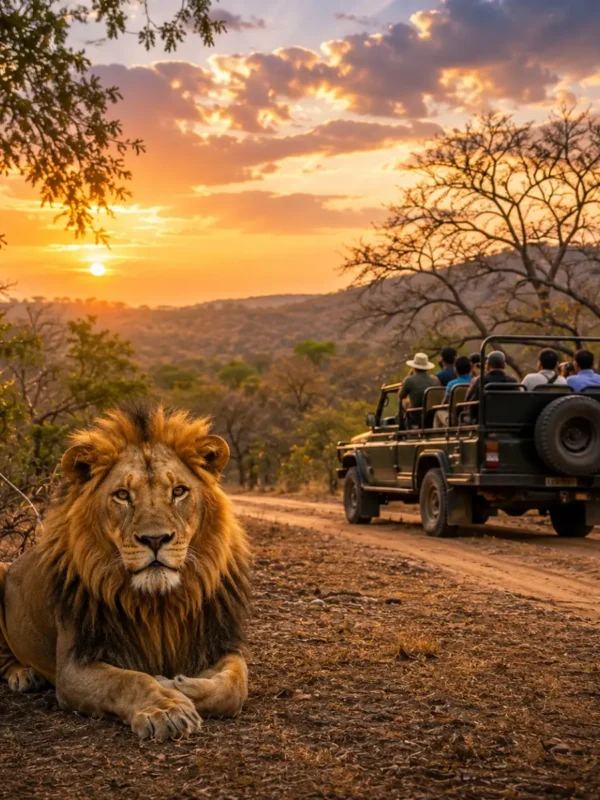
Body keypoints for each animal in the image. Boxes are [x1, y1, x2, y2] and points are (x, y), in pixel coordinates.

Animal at [0, 404, 250, 740]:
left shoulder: (217, 642)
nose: (155, 539)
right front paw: (165, 707)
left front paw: (175, 684)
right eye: (122, 495)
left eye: (179, 491)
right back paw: (24, 675)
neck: (159, 604)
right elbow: (128, 680)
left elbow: (235, 685)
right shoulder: (74, 665)